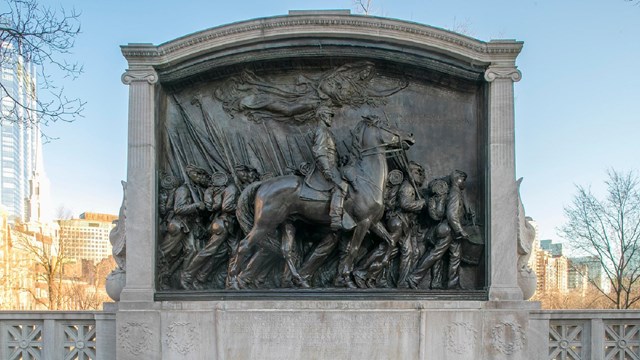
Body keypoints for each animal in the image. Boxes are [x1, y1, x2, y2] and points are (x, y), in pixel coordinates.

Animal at [228, 116, 418, 288]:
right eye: (387, 125)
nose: (410, 136)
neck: (366, 177)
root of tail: (263, 184)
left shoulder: (373, 222)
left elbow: (390, 241)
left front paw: (374, 270)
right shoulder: (363, 222)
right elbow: (354, 250)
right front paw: (348, 279)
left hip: (287, 222)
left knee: (286, 251)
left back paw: (299, 280)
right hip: (265, 223)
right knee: (244, 245)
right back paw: (234, 282)